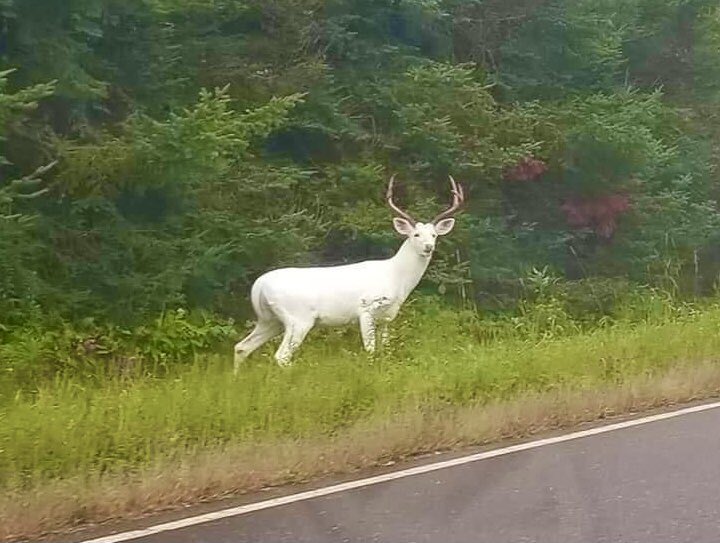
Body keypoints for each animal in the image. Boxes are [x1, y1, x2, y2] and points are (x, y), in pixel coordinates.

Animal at [233, 175, 465, 371]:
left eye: (434, 235)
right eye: (415, 234)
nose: (428, 247)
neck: (396, 277)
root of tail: (258, 286)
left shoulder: (387, 318)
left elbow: (385, 349)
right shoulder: (366, 309)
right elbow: (370, 350)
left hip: (269, 320)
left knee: (242, 347)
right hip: (297, 318)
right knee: (280, 356)